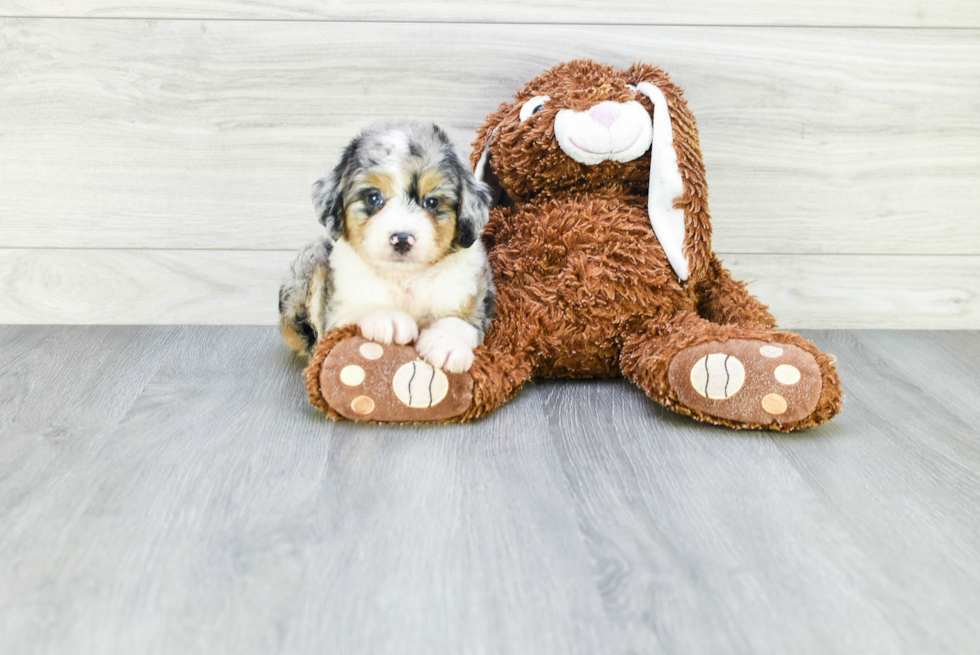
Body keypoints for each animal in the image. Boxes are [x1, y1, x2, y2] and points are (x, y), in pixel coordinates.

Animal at [278, 120, 494, 372]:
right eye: (373, 198)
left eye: (431, 202)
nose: (401, 239)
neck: (404, 278)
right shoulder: (336, 310)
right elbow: (359, 306)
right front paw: (387, 317)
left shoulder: (474, 292)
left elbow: (462, 318)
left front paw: (446, 342)